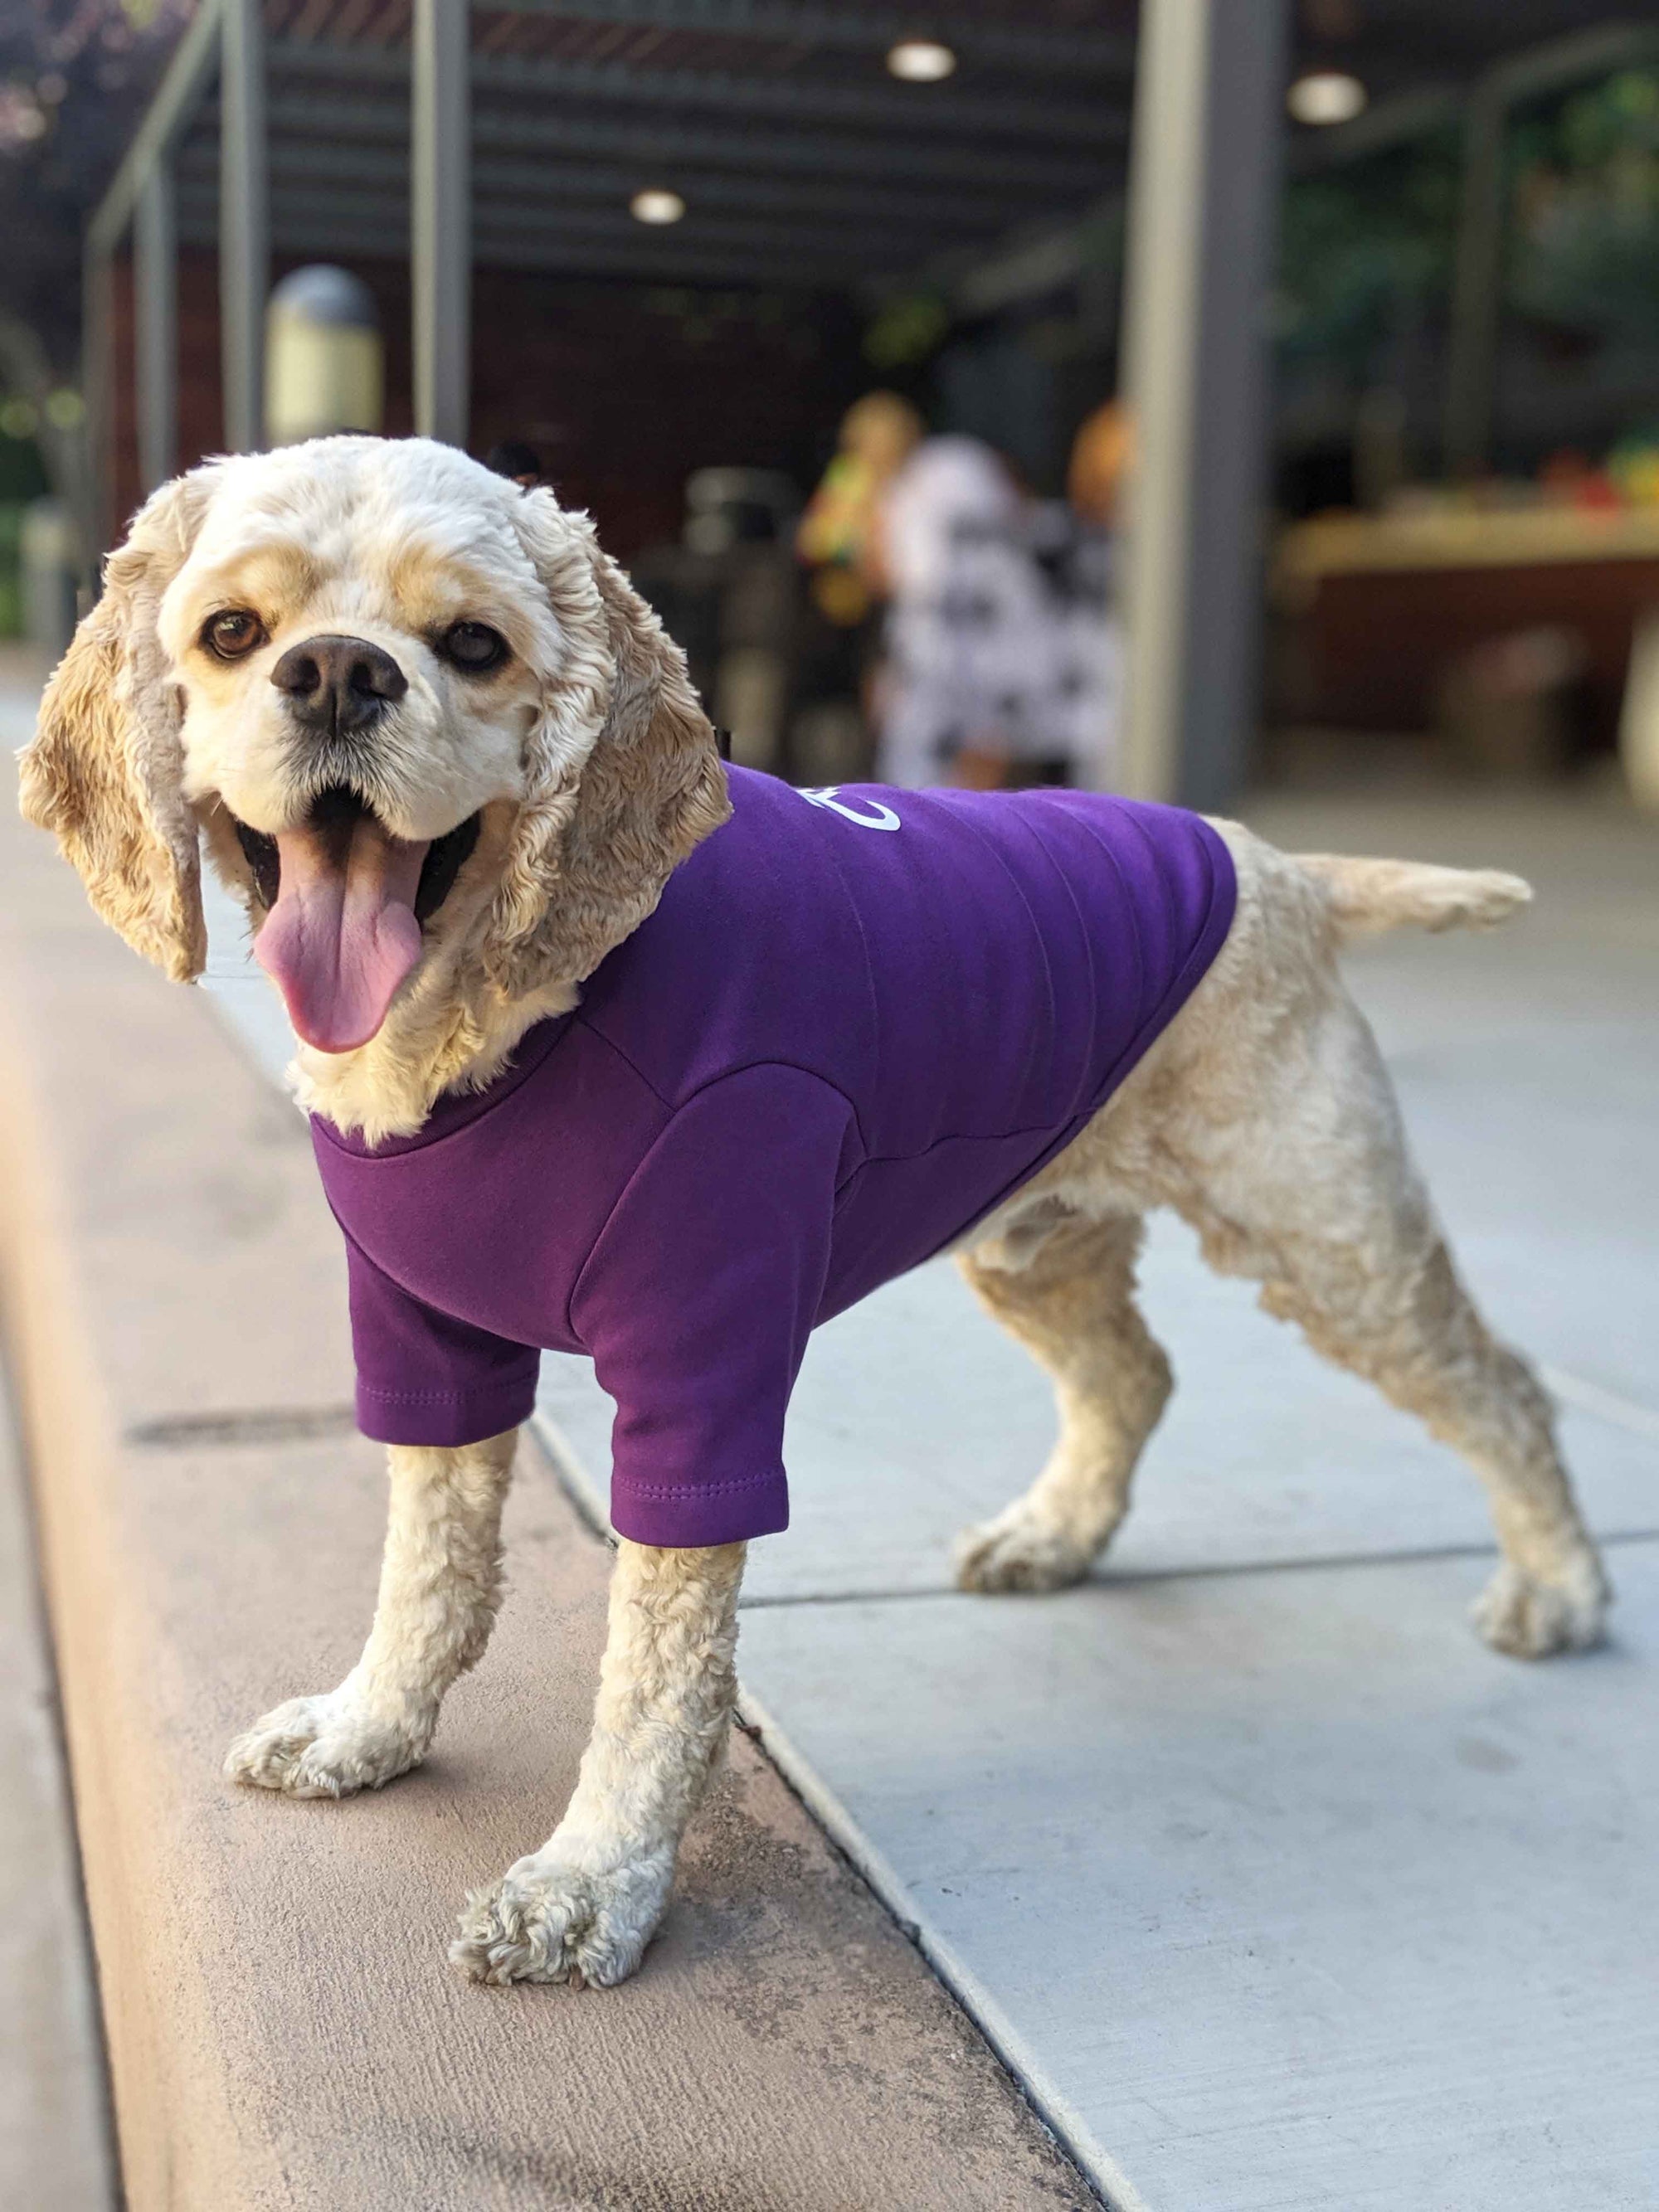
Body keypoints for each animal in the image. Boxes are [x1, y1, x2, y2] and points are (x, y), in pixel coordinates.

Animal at [19, 440, 1619, 1999]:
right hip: (1039, 1237)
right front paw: (368, 1729)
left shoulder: (701, 1358)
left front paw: (589, 1884)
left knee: (1505, 1387)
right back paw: (1057, 1535)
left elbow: (654, 1671)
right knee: (1136, 1374)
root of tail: (1278, 863)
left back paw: (1560, 1586)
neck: (521, 1007)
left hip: (1328, 1232)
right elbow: (427, 1575)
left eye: (472, 644)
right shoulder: (425, 1333)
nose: (341, 674)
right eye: (234, 632)